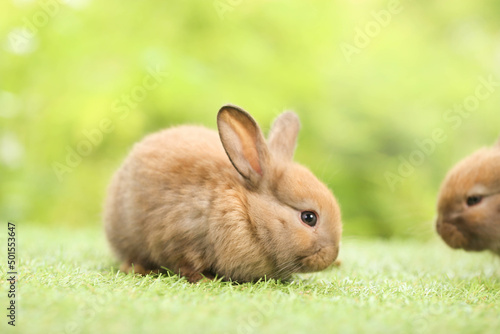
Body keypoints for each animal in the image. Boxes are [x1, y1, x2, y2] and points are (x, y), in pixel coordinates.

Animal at [103, 104, 342, 282]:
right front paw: (204, 280)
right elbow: (186, 264)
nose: (331, 257)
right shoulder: (182, 236)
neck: (248, 212)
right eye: (309, 218)